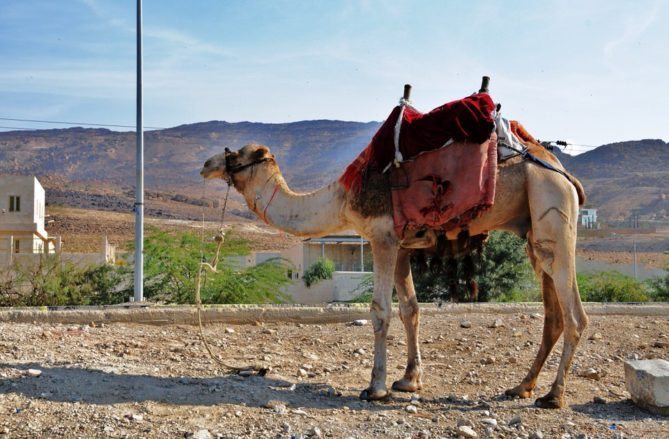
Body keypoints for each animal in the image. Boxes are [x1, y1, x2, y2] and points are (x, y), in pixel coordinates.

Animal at [200, 135, 588, 409]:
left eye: (234, 155)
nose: (205, 164)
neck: (343, 198)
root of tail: (565, 175)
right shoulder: (402, 246)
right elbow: (410, 310)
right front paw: (408, 380)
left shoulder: (381, 237)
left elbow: (380, 311)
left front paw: (376, 388)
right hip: (534, 231)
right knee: (553, 313)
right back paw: (522, 387)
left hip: (552, 209)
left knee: (575, 315)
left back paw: (554, 396)